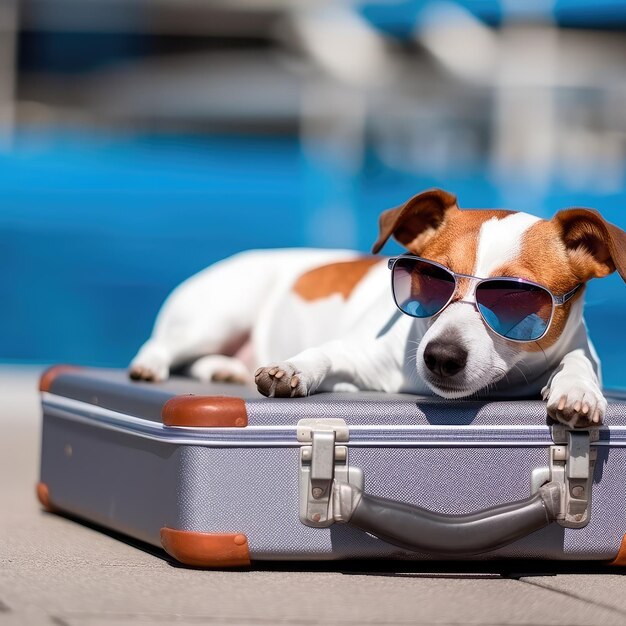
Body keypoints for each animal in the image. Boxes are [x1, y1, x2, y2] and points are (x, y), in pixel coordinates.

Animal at [128, 188, 624, 426]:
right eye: (429, 277)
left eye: (514, 296)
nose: (440, 357)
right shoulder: (357, 354)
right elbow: (321, 354)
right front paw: (292, 370)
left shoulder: (576, 349)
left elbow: (577, 364)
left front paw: (577, 391)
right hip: (217, 316)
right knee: (161, 345)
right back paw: (151, 366)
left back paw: (223, 370)